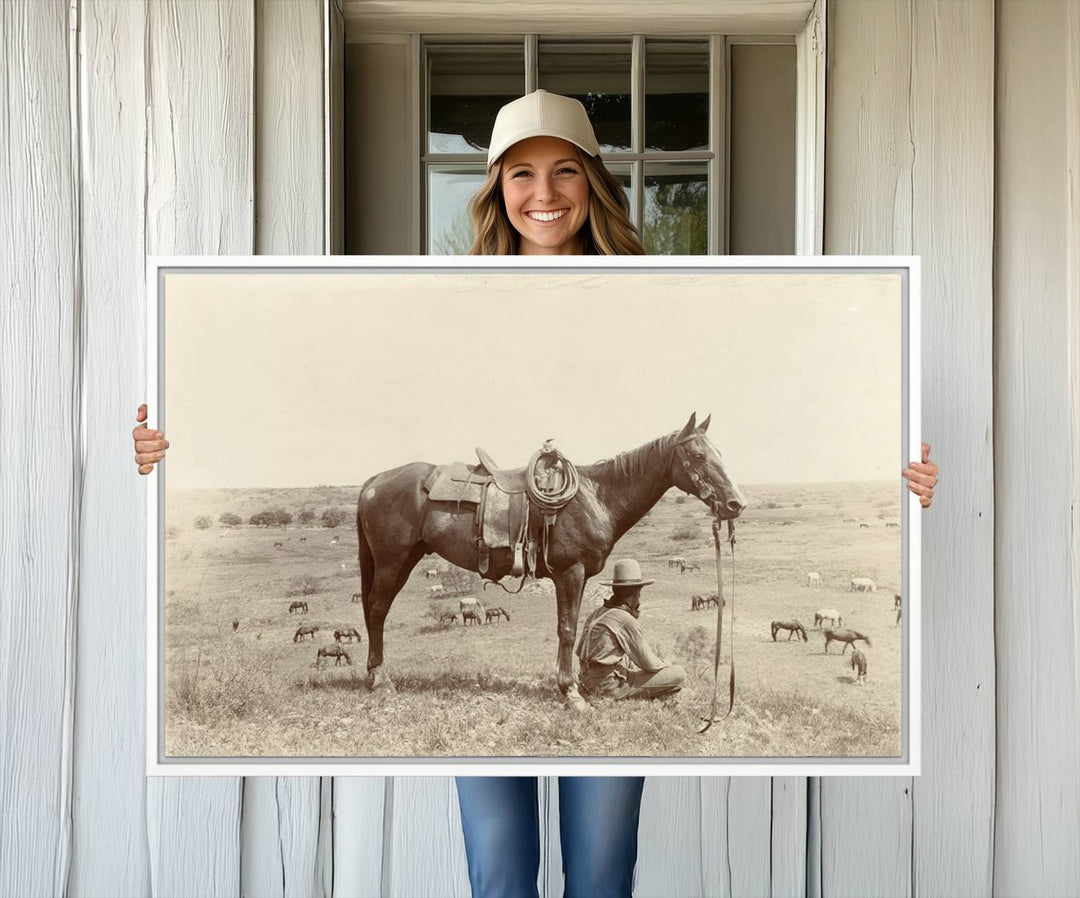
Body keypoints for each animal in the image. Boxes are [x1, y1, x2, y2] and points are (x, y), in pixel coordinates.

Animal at [354, 414, 743, 708]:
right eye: (697, 455)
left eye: (719, 452)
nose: (735, 504)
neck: (596, 497)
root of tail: (374, 481)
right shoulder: (570, 573)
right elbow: (567, 630)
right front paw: (570, 693)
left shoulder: (579, 576)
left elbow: (573, 625)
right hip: (391, 562)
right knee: (377, 610)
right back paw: (381, 680)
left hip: (405, 561)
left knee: (375, 610)